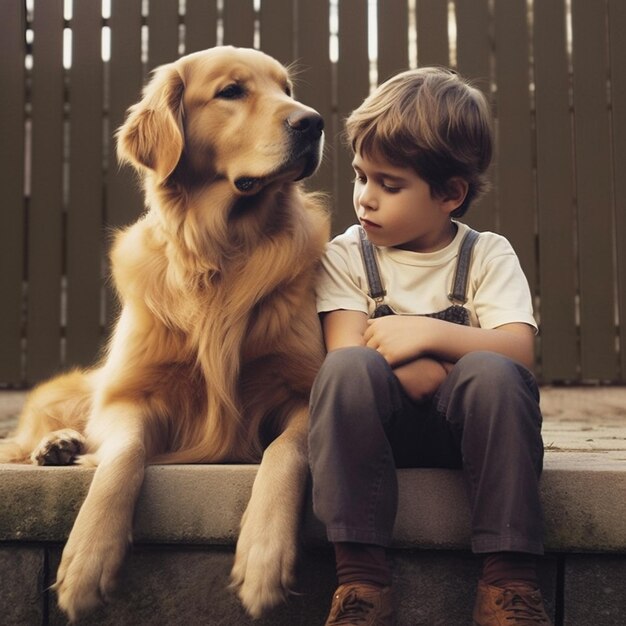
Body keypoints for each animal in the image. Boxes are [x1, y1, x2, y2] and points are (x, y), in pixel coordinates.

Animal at [0, 45, 330, 620]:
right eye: (231, 91)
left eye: (286, 89)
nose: (313, 123)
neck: (221, 253)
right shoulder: (131, 395)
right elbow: (123, 456)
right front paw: (87, 558)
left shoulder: (301, 392)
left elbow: (284, 453)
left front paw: (264, 555)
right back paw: (56, 445)